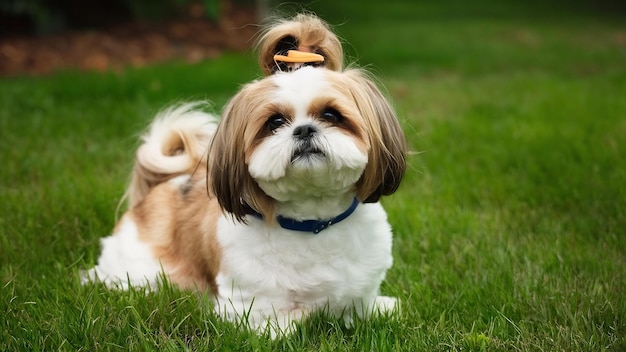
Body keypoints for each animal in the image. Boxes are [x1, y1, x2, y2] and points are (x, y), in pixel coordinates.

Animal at [81, 13, 404, 334]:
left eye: (331, 115)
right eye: (275, 122)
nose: (303, 130)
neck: (313, 222)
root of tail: (163, 186)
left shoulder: (361, 285)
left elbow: (358, 304)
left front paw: (378, 309)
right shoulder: (244, 307)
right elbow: (289, 321)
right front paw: (310, 316)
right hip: (139, 268)